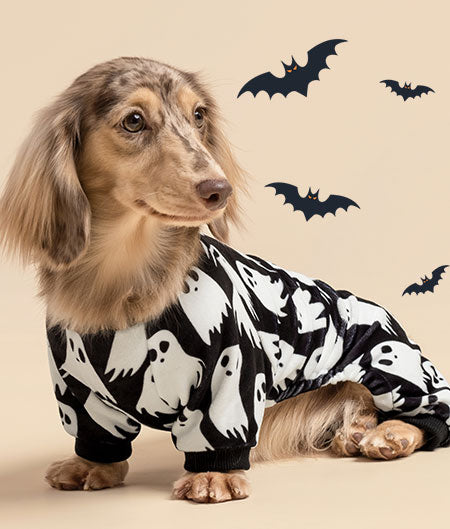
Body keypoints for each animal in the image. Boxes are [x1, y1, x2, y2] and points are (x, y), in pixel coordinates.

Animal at [1, 57, 449, 503]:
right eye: (133, 121)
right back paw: (352, 432)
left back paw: (389, 434)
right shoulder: (80, 392)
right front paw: (91, 464)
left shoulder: (229, 375)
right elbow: (98, 435)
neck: (123, 274)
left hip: (392, 366)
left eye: (198, 115)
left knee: (430, 415)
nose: (220, 190)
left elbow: (217, 431)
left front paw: (213, 475)